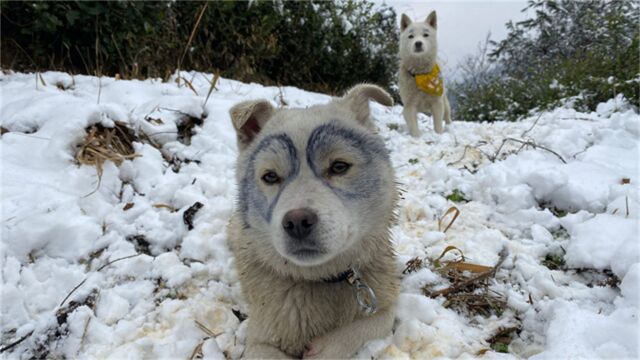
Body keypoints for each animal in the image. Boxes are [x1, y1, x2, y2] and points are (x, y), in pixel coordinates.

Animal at [226, 83, 400, 358]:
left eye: (339, 166)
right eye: (270, 176)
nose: (297, 222)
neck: (320, 279)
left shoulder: (382, 303)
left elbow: (372, 324)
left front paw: (325, 347)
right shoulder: (259, 340)